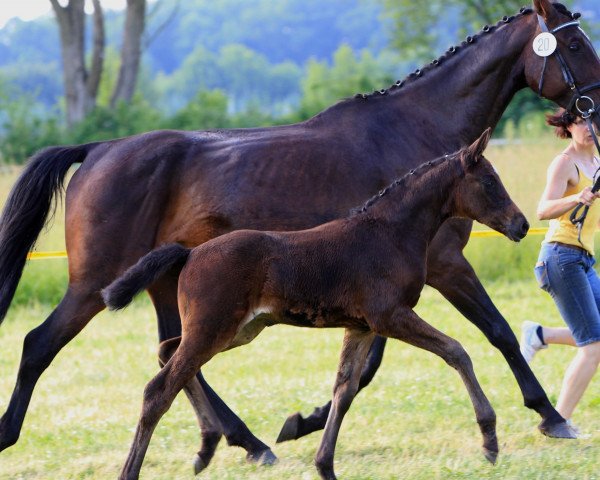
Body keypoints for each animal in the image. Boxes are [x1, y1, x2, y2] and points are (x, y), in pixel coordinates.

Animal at [103, 128, 528, 480]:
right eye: (489, 181)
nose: (521, 225)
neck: (391, 232)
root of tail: (189, 254)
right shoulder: (390, 316)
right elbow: (457, 352)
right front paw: (489, 440)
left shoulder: (360, 326)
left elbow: (344, 389)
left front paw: (324, 465)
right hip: (214, 328)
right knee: (159, 389)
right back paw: (137, 469)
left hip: (236, 330)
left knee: (167, 353)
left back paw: (207, 446)